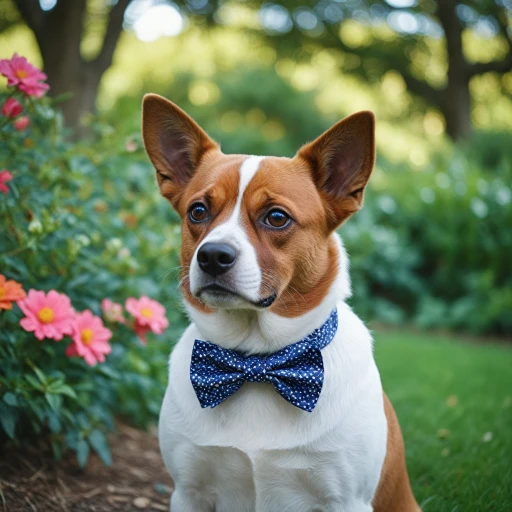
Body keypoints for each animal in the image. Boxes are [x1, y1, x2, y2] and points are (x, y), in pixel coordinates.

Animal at [141, 93, 420, 512]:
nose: (212, 256)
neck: (256, 362)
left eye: (276, 217)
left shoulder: (346, 499)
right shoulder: (189, 491)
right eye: (198, 211)